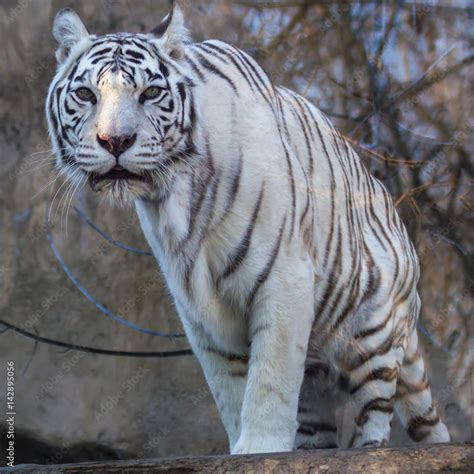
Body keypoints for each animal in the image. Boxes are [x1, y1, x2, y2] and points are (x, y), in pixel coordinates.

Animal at [46, 4, 450, 456]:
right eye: (86, 95)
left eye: (149, 93)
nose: (115, 140)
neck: (175, 201)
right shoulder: (199, 308)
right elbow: (229, 388)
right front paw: (245, 443)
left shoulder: (285, 278)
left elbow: (271, 376)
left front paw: (260, 448)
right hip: (320, 379)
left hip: (370, 331)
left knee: (375, 408)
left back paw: (369, 448)